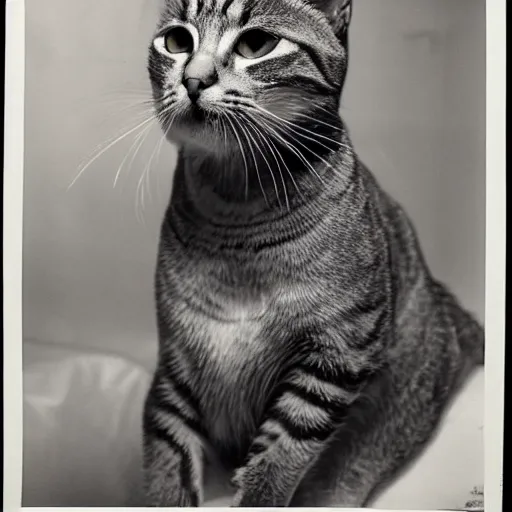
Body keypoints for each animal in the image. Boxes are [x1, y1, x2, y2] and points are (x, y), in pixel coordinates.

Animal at [141, 0, 484, 506]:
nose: (194, 79)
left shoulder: (337, 354)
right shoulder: (175, 367)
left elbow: (276, 461)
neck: (235, 213)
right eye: (177, 41)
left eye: (256, 44)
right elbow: (166, 463)